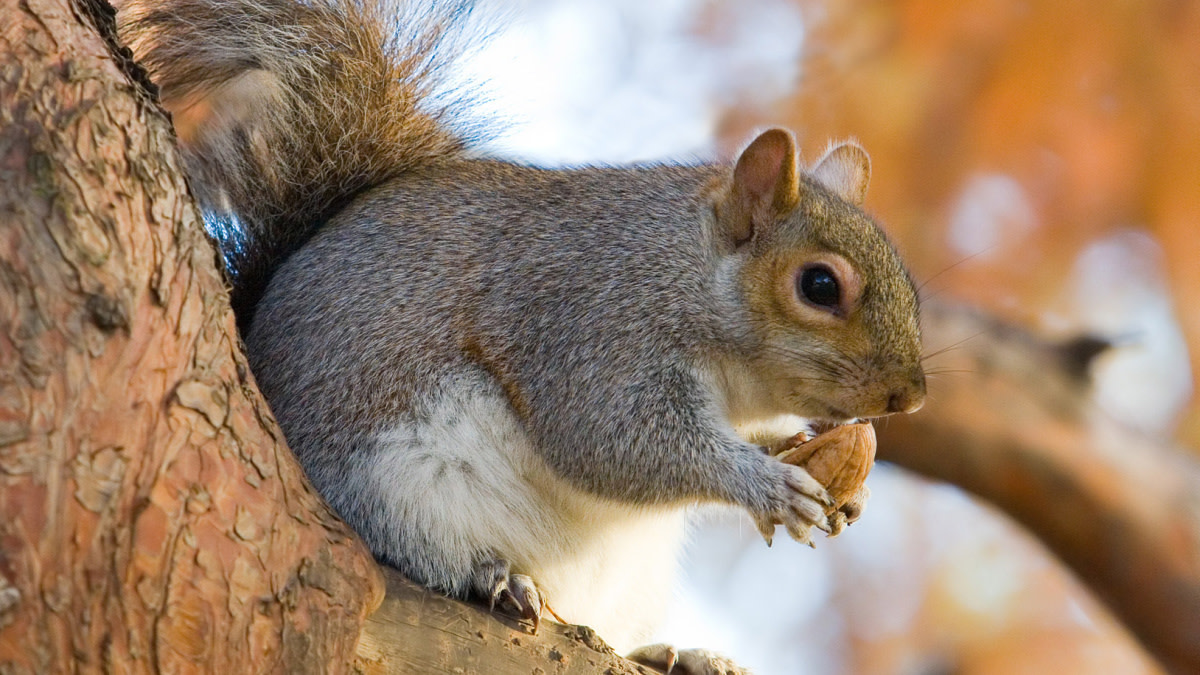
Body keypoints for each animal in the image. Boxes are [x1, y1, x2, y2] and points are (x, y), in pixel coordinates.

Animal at [118, 0, 926, 669]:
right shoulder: (589, 324)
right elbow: (612, 439)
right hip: (392, 484)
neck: (686, 275)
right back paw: (492, 575)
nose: (911, 397)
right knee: (415, 548)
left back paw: (673, 653)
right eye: (819, 286)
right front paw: (766, 485)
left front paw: (824, 471)